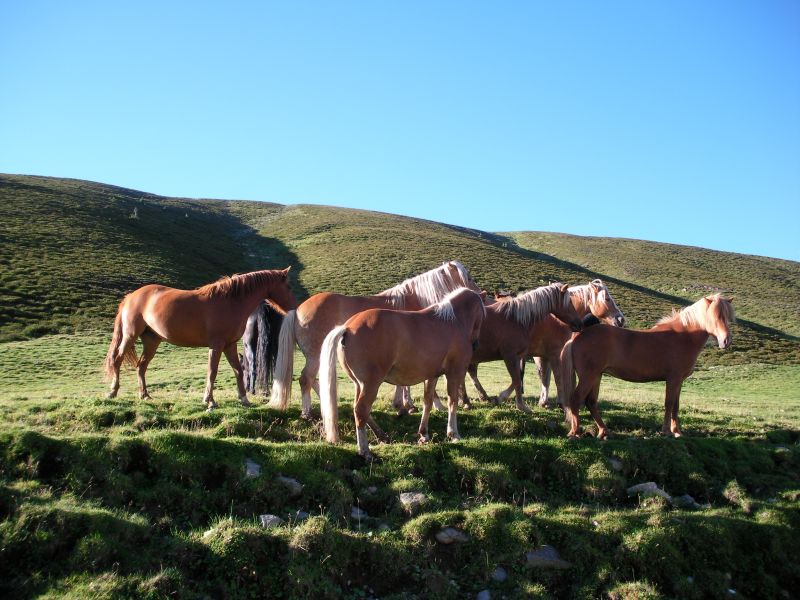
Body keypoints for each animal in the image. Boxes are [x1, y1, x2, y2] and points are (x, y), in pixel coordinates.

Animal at [103, 270, 296, 410]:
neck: (231, 302)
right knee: (118, 359)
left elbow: (238, 371)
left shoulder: (230, 345)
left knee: (141, 366)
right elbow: (212, 371)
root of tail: (131, 297)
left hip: (152, 341)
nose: (294, 308)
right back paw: (112, 392)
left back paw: (144, 395)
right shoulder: (216, 345)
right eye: (288, 286)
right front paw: (210, 401)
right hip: (130, 335)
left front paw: (244, 399)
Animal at [268, 262, 482, 418]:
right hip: (315, 355)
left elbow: (403, 382)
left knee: (312, 380)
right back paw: (307, 412)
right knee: (306, 379)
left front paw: (402, 404)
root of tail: (297, 311)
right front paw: (421, 405)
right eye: (469, 277)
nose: (482, 294)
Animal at [318, 286, 482, 460]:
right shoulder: (454, 372)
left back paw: (382, 436)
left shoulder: (432, 376)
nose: (476, 344)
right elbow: (453, 401)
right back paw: (365, 451)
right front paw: (453, 433)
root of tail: (347, 328)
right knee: (361, 411)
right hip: (371, 384)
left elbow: (428, 402)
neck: (453, 322)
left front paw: (424, 434)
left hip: (359, 384)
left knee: (361, 410)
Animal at [564, 294, 732, 438]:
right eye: (716, 316)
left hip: (597, 376)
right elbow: (669, 403)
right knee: (576, 399)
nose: (726, 341)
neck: (685, 336)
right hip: (588, 376)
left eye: (728, 317)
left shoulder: (679, 381)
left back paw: (604, 432)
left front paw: (677, 432)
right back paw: (575, 433)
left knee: (591, 402)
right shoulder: (673, 379)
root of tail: (581, 333)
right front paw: (667, 431)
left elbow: (676, 405)